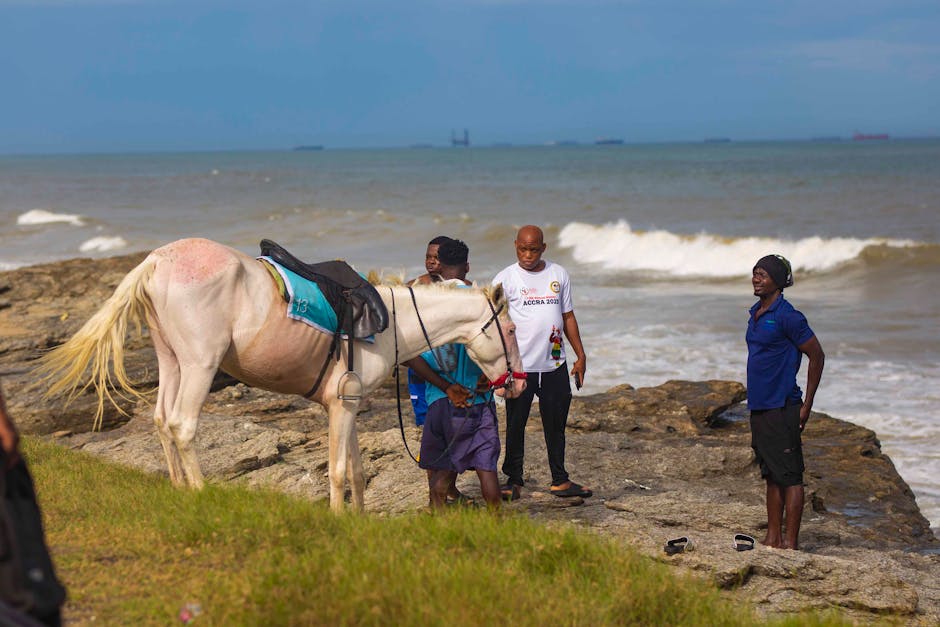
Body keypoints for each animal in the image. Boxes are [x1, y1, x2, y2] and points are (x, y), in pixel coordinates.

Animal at [37, 238, 526, 512]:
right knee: (182, 424)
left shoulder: (347, 405)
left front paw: (359, 522)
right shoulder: (341, 406)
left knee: (159, 419)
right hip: (200, 363)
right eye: (512, 329)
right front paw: (339, 521)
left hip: (170, 359)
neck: (393, 320)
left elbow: (356, 472)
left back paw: (177, 488)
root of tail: (157, 260)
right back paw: (199, 492)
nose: (519, 383)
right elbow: (337, 472)